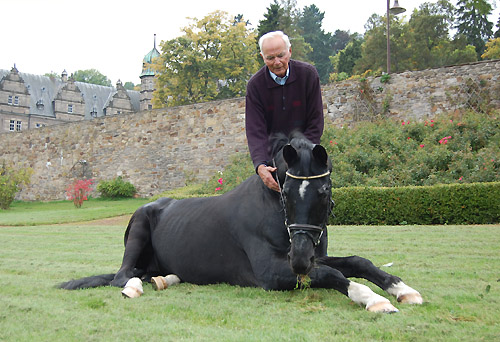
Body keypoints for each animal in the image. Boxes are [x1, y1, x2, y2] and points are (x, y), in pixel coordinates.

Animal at [61, 133, 422, 312]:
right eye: (286, 191)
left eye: (323, 191)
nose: (299, 258)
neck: (272, 210)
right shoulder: (270, 274)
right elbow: (332, 275)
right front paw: (373, 299)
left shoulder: (310, 259)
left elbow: (357, 262)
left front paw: (401, 289)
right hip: (137, 229)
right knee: (122, 276)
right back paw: (139, 285)